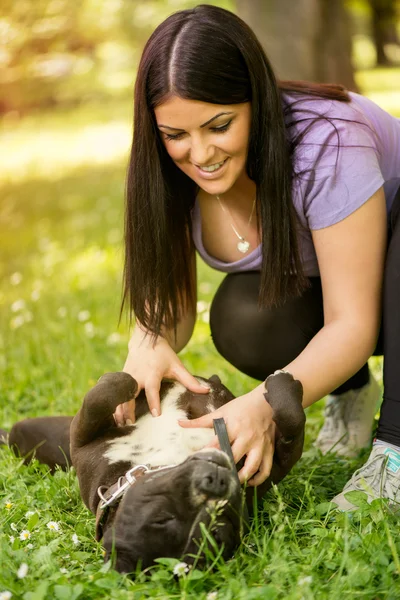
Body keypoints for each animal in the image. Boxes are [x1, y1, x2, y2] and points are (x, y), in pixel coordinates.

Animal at [1, 370, 304, 572]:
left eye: (219, 529)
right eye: (162, 519)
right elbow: (101, 397)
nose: (215, 481)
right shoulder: (84, 441)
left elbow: (292, 422)